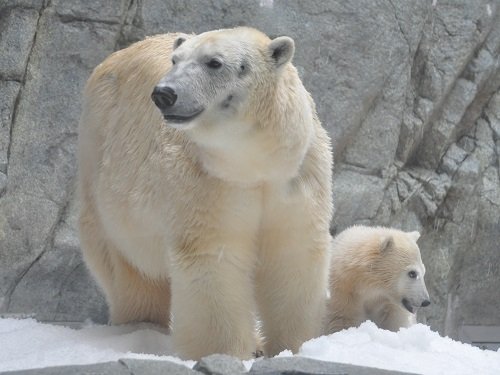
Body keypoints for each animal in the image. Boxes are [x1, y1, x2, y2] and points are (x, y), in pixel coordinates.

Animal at [77, 27, 332, 360]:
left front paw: (294, 346)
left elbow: (292, 254)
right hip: (100, 162)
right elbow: (213, 257)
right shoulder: (207, 181)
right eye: (175, 60)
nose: (164, 94)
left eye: (214, 62)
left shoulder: (294, 178)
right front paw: (224, 353)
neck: (252, 163)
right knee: (126, 265)